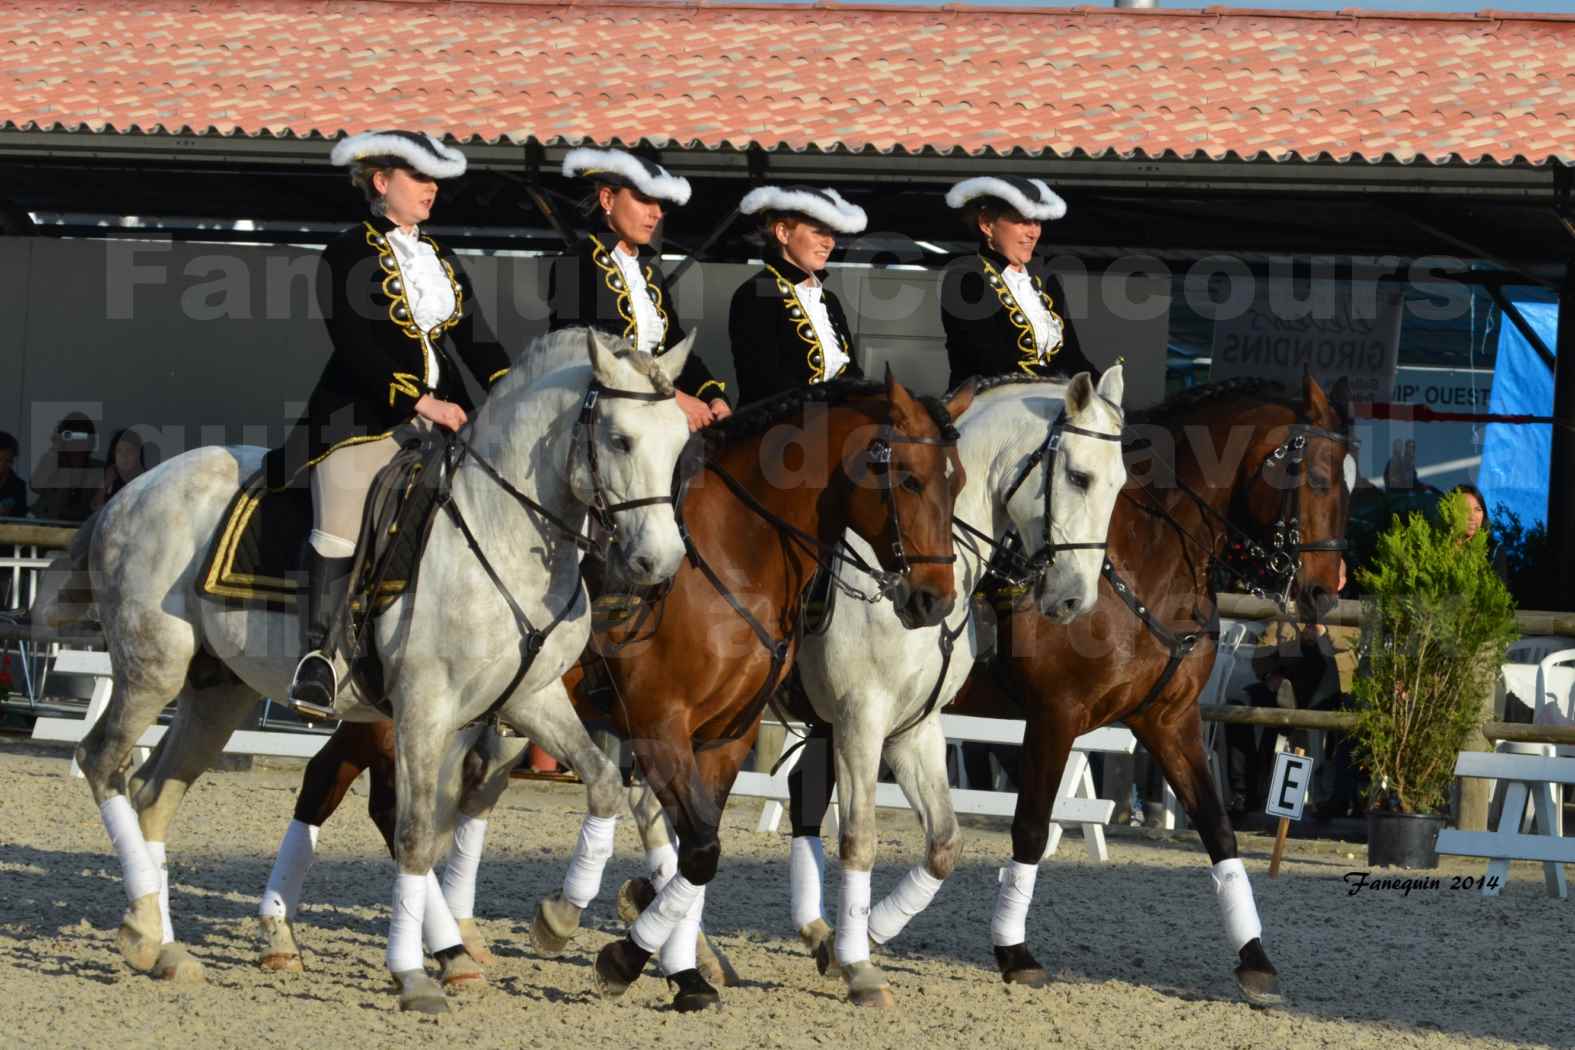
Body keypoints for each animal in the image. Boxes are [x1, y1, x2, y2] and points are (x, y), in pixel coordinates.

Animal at [44, 332, 696, 1013]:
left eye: (680, 442)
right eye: (620, 439)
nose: (659, 561)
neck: (498, 529)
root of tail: (132, 491)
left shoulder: (531, 700)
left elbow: (602, 783)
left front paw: (558, 919)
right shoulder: (423, 708)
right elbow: (413, 833)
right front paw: (413, 974)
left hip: (216, 694)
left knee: (152, 795)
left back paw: (161, 946)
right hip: (154, 668)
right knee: (102, 763)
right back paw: (148, 930)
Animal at [781, 373, 1348, 1007]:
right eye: (1317, 478)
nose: (1325, 593)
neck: (1145, 563)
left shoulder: (1169, 721)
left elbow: (1218, 829)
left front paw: (1255, 959)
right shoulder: (1054, 716)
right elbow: (1029, 829)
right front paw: (1012, 951)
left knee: (805, 794)